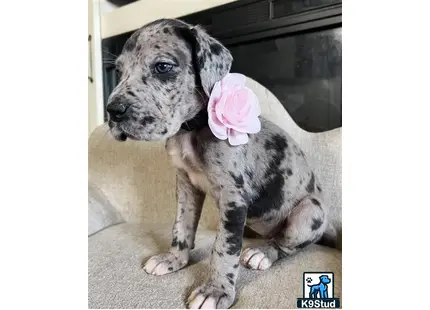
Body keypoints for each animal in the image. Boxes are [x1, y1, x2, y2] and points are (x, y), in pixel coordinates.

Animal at [106, 18, 336, 308]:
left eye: (163, 67)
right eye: (119, 70)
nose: (112, 111)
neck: (192, 129)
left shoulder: (233, 198)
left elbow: (225, 248)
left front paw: (215, 291)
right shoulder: (186, 187)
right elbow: (181, 227)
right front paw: (174, 260)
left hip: (309, 211)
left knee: (285, 244)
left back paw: (263, 253)